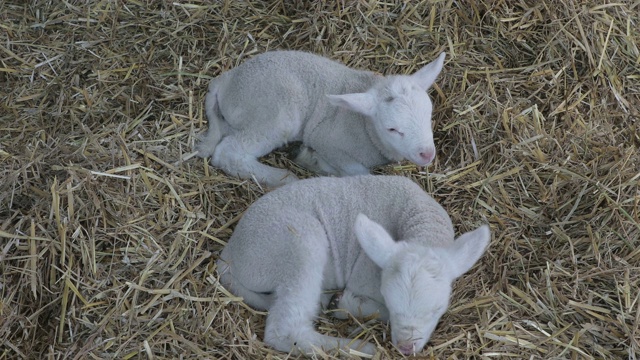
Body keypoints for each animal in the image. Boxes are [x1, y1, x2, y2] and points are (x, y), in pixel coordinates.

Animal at [195, 50, 444, 188]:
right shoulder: (327, 140)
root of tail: (225, 80)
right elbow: (359, 173)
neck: (365, 128)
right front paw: (313, 161)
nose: (427, 154)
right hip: (274, 115)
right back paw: (284, 178)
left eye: (429, 114)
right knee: (228, 152)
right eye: (392, 129)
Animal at [215, 176, 490, 356]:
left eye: (437, 309)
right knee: (285, 330)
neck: (421, 226)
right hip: (298, 243)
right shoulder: (366, 274)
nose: (404, 348)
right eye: (391, 304)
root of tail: (229, 253)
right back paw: (359, 348)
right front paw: (345, 305)